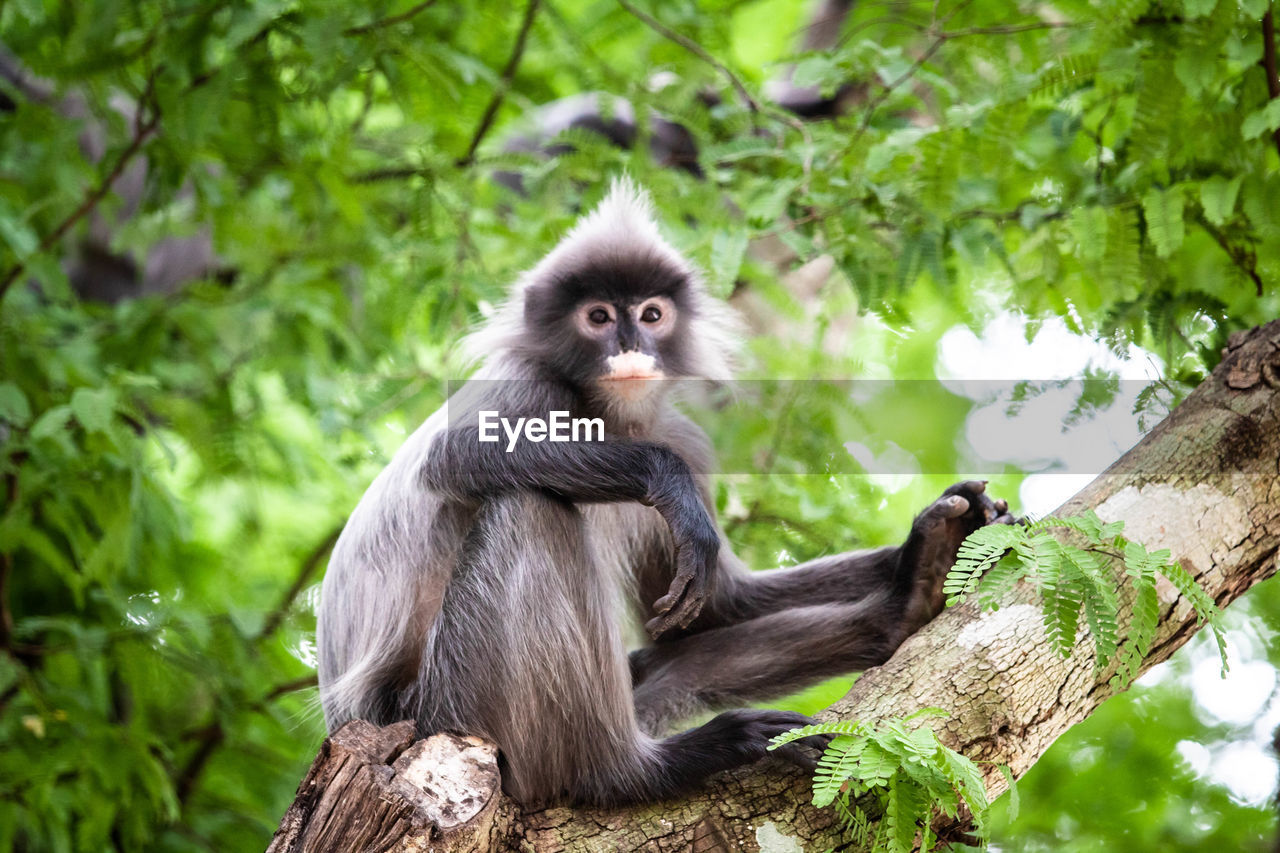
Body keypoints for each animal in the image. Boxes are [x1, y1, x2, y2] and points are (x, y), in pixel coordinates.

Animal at [317, 179, 1008, 804]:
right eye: (598, 317)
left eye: (651, 315)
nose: (630, 347)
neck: (609, 417)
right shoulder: (528, 382)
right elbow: (454, 457)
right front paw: (669, 487)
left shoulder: (679, 434)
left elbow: (716, 606)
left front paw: (944, 539)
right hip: (447, 708)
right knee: (530, 506)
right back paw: (628, 773)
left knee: (676, 658)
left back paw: (908, 600)